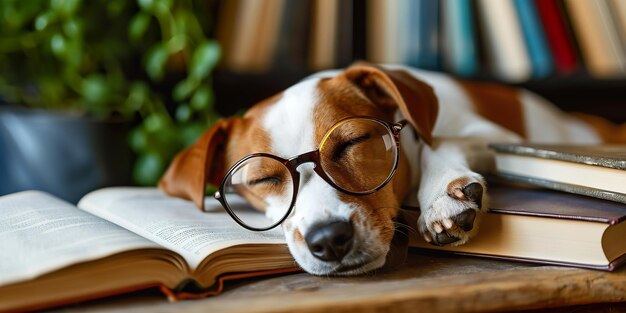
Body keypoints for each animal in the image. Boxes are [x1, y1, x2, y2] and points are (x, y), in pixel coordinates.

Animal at [158, 63, 624, 276]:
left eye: (353, 141)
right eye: (263, 178)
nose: (328, 241)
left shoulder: (492, 137)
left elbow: (439, 142)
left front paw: (442, 194)